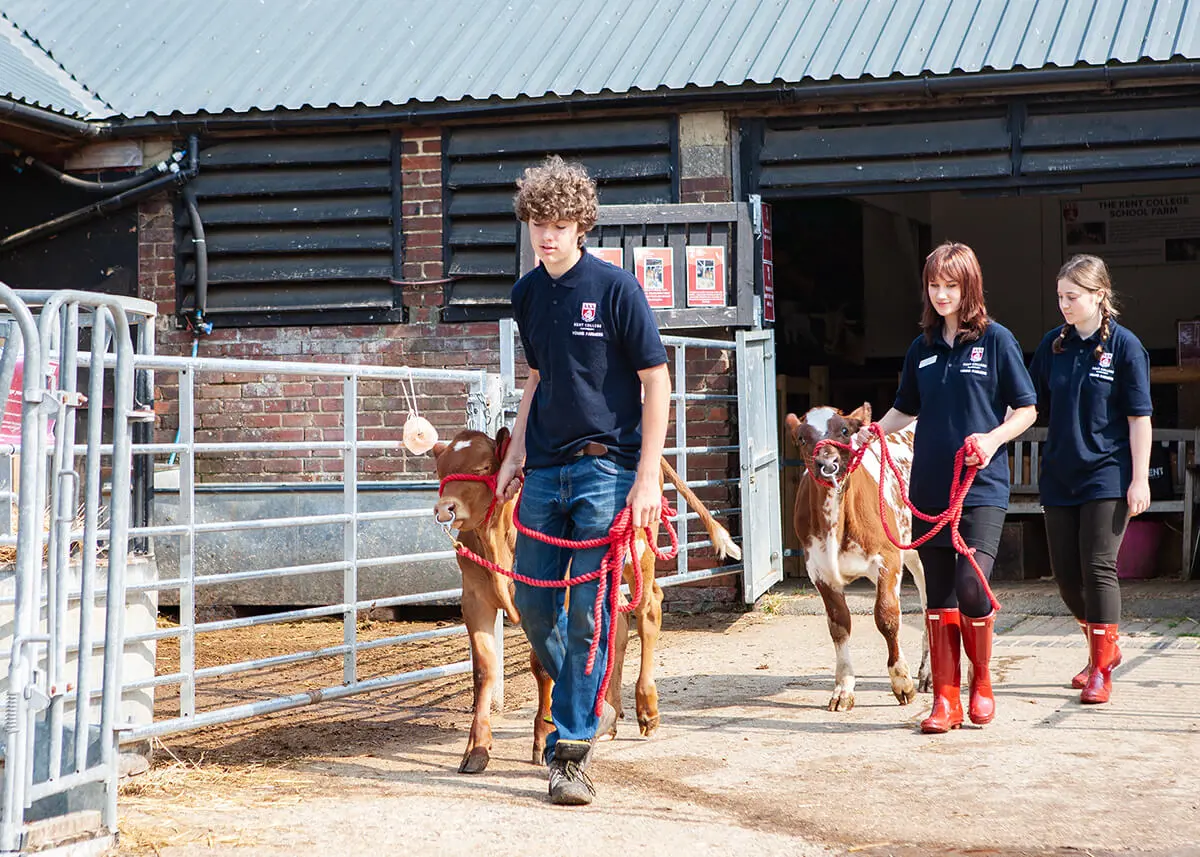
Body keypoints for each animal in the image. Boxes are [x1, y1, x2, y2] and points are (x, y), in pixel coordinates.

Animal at [432, 429, 739, 772]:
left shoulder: (557, 593)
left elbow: (542, 665)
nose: (445, 509)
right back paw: (608, 714)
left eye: (484, 467)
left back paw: (647, 709)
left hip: (639, 548)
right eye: (441, 471)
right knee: (618, 622)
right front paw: (477, 747)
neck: (498, 537)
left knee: (648, 608)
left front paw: (544, 735)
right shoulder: (474, 599)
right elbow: (484, 671)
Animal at [782, 403, 931, 710]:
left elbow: (887, 616)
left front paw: (902, 681)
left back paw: (929, 674)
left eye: (844, 430)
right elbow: (839, 625)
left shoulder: (888, 558)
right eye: (802, 437)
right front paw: (843, 688)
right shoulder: (819, 570)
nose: (827, 464)